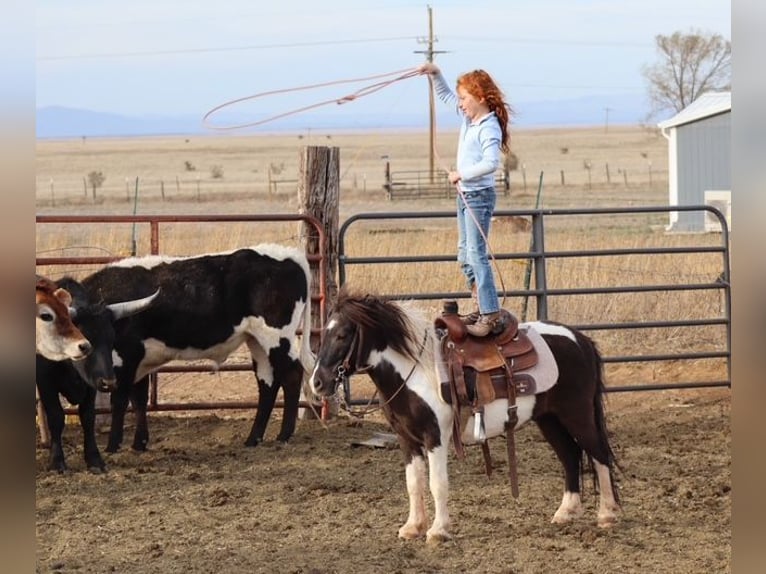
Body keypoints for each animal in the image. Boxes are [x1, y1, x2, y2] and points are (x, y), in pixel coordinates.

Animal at [308, 288, 620, 543]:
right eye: (324, 333)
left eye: (342, 335)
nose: (317, 383)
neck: (417, 370)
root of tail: (580, 339)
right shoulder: (406, 439)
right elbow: (413, 483)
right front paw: (413, 527)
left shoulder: (435, 437)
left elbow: (437, 483)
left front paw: (437, 531)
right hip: (549, 419)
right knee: (570, 456)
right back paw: (565, 512)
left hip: (577, 413)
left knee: (598, 454)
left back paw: (606, 515)